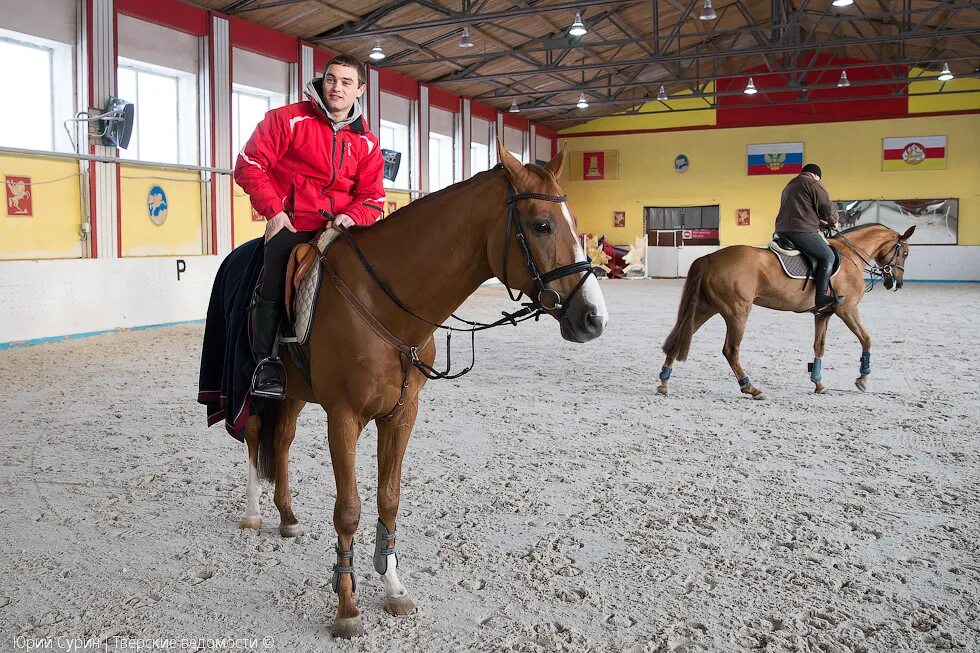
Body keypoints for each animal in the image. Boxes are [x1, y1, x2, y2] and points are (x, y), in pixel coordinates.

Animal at [237, 144, 604, 636]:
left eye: (573, 219)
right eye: (542, 224)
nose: (593, 317)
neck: (383, 304)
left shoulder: (401, 413)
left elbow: (389, 499)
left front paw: (393, 587)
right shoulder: (344, 417)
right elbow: (348, 508)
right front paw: (346, 607)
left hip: (294, 393)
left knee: (281, 442)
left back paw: (288, 517)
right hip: (256, 387)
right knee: (256, 437)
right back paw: (254, 514)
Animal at [656, 223, 916, 398]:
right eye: (904, 252)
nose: (897, 283)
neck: (851, 255)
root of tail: (710, 257)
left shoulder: (823, 314)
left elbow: (819, 346)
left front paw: (818, 382)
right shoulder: (847, 309)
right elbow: (866, 339)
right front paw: (862, 378)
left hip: (705, 307)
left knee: (680, 336)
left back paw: (664, 382)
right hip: (737, 311)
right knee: (730, 350)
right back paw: (750, 387)